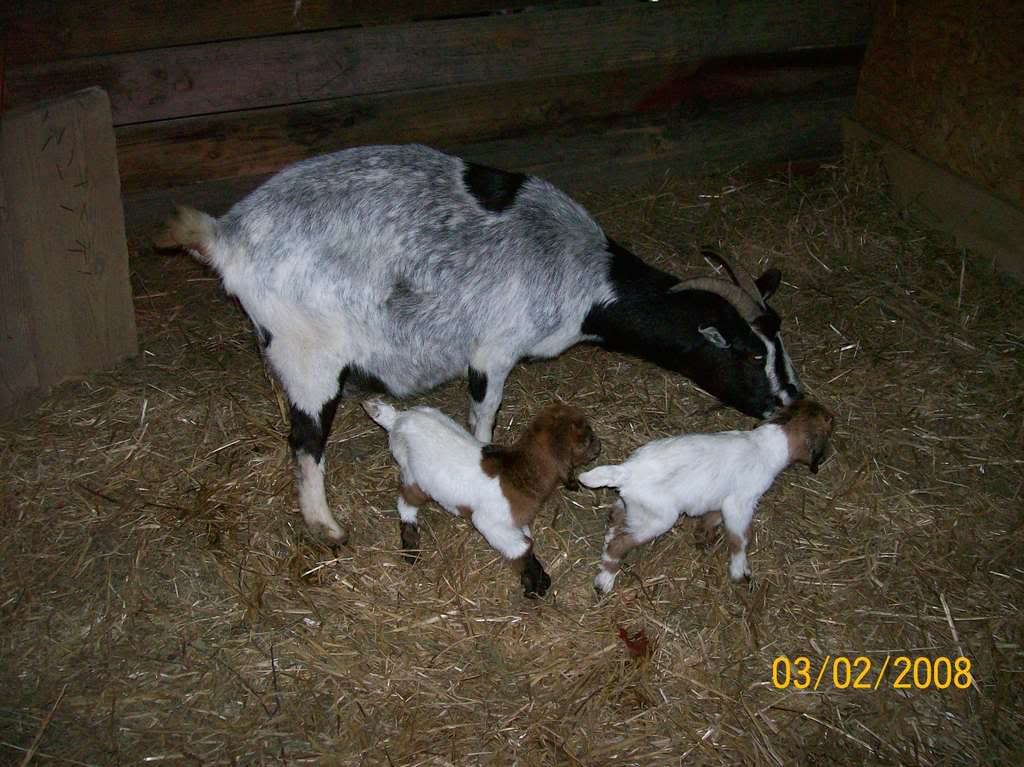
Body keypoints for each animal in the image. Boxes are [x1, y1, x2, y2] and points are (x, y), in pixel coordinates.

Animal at [156, 144, 801, 544]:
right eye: (747, 353)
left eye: (778, 343)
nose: (786, 400)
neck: (583, 275)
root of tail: (227, 235)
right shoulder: (494, 351)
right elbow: (485, 416)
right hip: (309, 351)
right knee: (306, 439)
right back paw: (326, 527)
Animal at [363, 400, 600, 597]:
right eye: (585, 440)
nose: (599, 448)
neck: (517, 474)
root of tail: (398, 418)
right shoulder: (490, 523)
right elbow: (521, 548)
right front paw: (535, 585)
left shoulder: (516, 521)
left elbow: (526, 541)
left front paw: (538, 577)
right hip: (414, 477)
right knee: (406, 503)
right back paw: (411, 547)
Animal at [578, 399, 834, 592]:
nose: (823, 460)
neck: (766, 446)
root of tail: (628, 470)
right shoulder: (739, 504)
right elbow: (740, 539)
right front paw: (740, 571)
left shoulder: (720, 501)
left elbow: (712, 518)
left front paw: (703, 537)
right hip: (658, 519)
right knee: (620, 543)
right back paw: (604, 581)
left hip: (635, 507)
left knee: (614, 521)